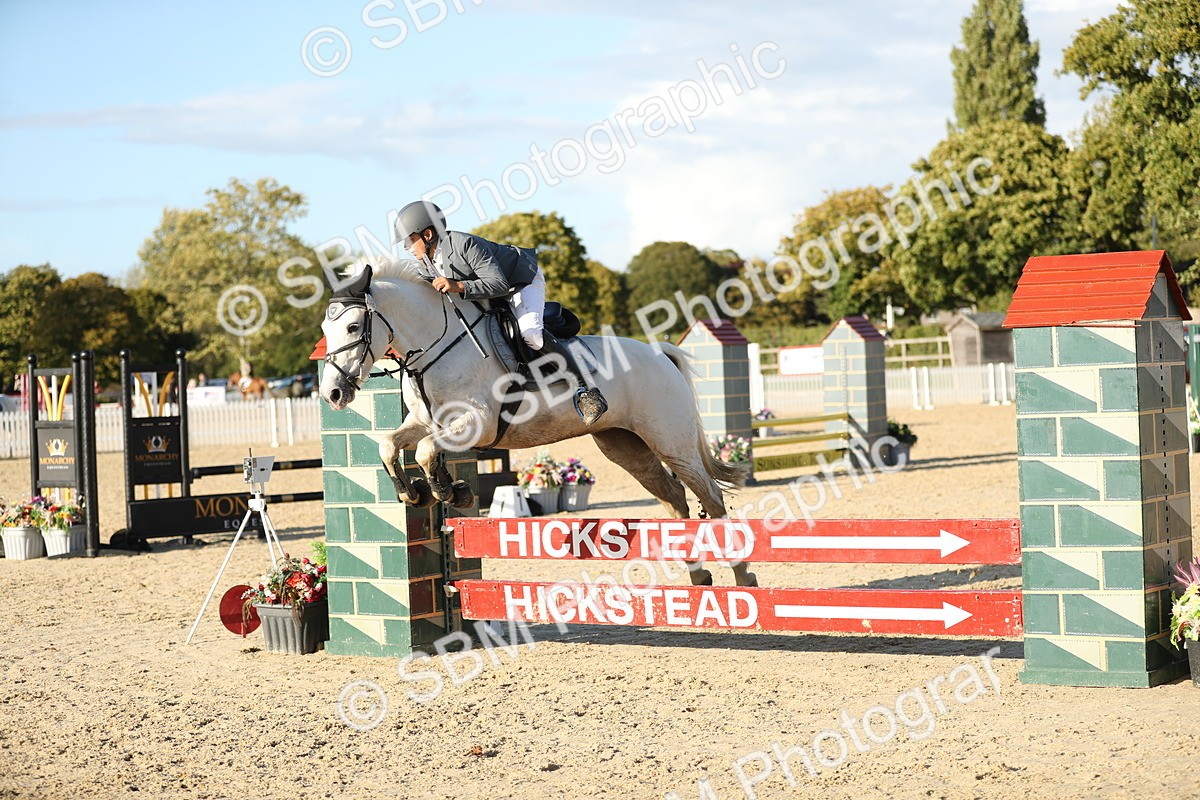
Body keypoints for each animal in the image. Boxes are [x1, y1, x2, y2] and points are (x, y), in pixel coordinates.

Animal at [318, 257, 757, 587]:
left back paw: (742, 578)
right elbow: (390, 444)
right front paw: (418, 493)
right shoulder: (426, 423)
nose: (333, 394)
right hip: (625, 447)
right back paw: (699, 578)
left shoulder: (476, 423)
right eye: (325, 329)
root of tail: (660, 353)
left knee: (710, 500)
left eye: (354, 327)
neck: (438, 345)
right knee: (675, 498)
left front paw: (447, 491)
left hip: (671, 442)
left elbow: (425, 451)